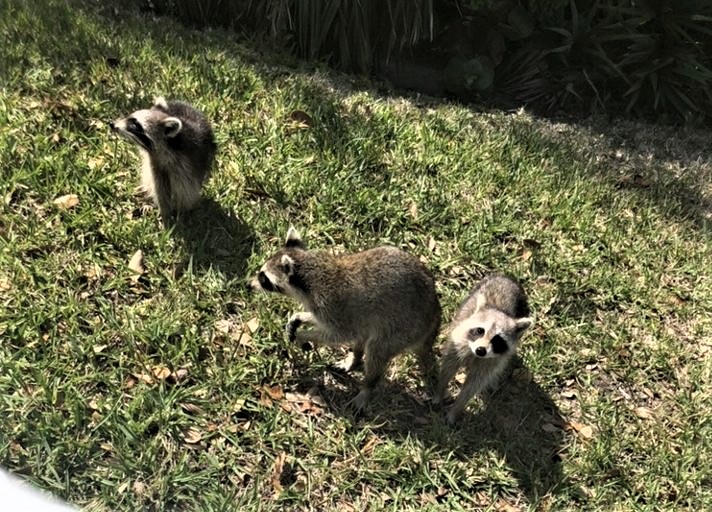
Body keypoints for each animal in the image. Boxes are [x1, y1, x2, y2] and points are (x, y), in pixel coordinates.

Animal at [110, 97, 216, 225]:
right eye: (129, 117)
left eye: (135, 125)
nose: (112, 124)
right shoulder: (154, 162)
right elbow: (160, 190)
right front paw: (165, 213)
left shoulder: (188, 162)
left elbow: (186, 190)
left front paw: (180, 215)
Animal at [249, 228, 440, 412]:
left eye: (263, 278)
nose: (248, 285)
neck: (311, 274)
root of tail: (435, 312)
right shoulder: (323, 308)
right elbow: (319, 320)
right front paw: (299, 317)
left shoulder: (334, 306)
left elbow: (339, 335)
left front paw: (304, 335)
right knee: (364, 336)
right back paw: (355, 358)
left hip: (403, 327)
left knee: (376, 349)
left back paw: (368, 387)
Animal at [434, 274, 536, 422]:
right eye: (480, 331)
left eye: (497, 340)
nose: (481, 350)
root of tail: (508, 278)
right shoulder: (458, 342)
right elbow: (449, 367)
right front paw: (440, 391)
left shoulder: (491, 361)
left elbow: (473, 384)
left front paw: (456, 409)